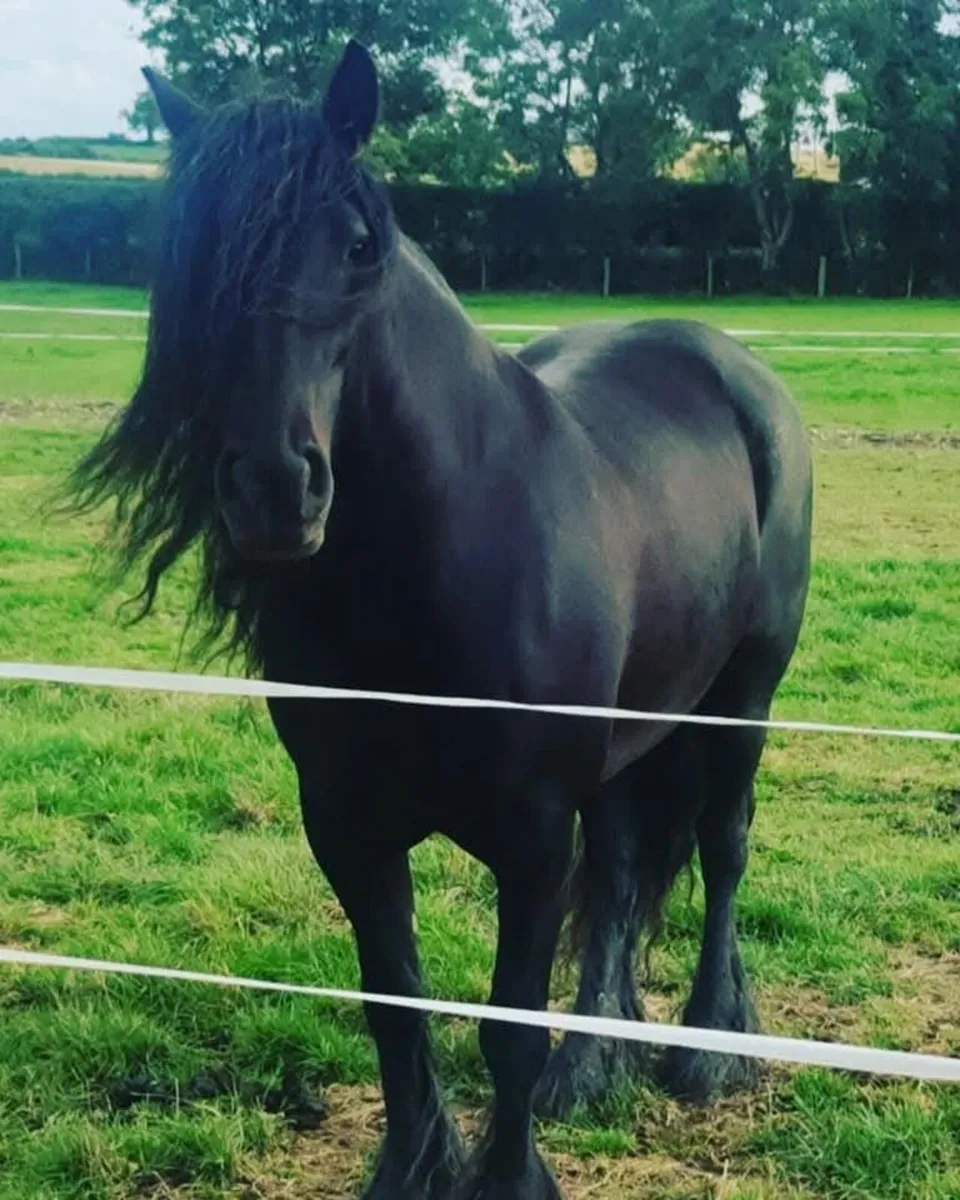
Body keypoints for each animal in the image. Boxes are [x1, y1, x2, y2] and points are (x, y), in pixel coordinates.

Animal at [66, 40, 813, 1200]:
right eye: (188, 255)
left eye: (357, 245)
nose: (275, 489)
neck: (435, 568)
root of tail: (733, 368)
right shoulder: (346, 824)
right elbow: (395, 1010)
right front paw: (414, 1166)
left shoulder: (532, 834)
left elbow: (507, 1030)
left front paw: (510, 1176)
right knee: (626, 869)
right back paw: (594, 1068)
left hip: (744, 698)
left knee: (724, 849)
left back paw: (707, 1050)